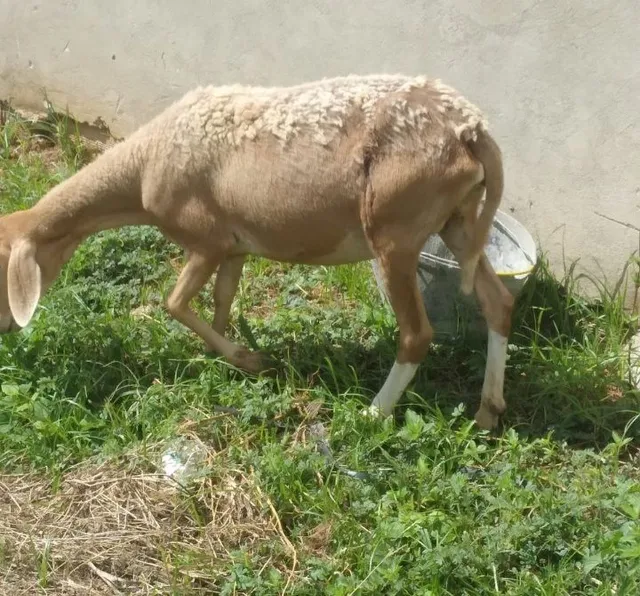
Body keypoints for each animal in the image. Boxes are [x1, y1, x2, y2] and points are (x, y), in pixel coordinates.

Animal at [0, 74, 514, 429]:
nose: (6, 329)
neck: (142, 168)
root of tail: (474, 131)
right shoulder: (235, 245)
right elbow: (221, 300)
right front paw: (223, 356)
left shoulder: (205, 238)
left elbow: (175, 303)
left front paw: (249, 360)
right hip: (455, 218)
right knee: (498, 302)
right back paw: (488, 410)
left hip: (397, 226)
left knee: (416, 334)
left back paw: (373, 413)